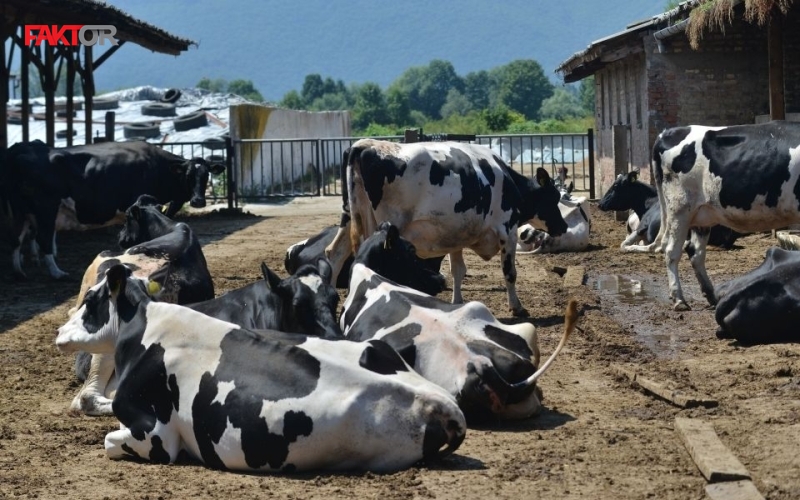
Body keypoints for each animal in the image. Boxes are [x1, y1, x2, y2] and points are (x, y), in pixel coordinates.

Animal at [2, 140, 223, 279]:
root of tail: (19, 149)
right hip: (45, 209)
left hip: (22, 210)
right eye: (188, 175)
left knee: (16, 237)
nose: (198, 201)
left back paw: (19, 272)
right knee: (43, 238)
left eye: (206, 176)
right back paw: (57, 273)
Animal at [55, 264, 466, 472]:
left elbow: (110, 442)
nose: (58, 330)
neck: (146, 328)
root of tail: (444, 407)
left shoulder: (155, 437)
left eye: (89, 300)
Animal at [325, 140, 568, 317]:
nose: (563, 226)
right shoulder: (507, 230)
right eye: (553, 198)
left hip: (349, 216)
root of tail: (363, 145)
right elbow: (509, 272)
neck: (508, 182)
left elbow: (458, 271)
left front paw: (457, 302)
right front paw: (517, 307)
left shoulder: (455, 235)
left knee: (334, 253)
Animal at [643, 122, 800, 310]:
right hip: (679, 209)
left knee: (695, 252)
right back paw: (679, 299)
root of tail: (669, 132)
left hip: (700, 214)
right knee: (671, 251)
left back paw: (711, 296)